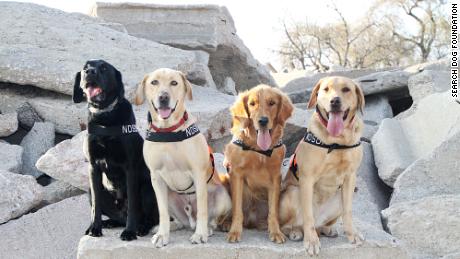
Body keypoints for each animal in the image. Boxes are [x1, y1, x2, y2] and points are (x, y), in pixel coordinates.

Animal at [72, 59, 158, 242]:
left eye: (104, 68)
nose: (89, 72)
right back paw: (109, 223)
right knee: (117, 217)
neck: (104, 116)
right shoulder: (93, 168)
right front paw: (94, 227)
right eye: (85, 67)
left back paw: (141, 228)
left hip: (147, 189)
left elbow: (132, 204)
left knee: (150, 218)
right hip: (90, 191)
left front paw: (129, 232)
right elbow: (95, 206)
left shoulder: (130, 169)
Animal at [135, 68, 232, 248]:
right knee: (179, 221)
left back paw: (207, 228)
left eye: (174, 83)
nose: (163, 97)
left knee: (211, 218)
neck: (168, 131)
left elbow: (202, 208)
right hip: (169, 195)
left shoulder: (198, 173)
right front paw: (162, 235)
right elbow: (162, 212)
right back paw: (170, 226)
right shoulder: (156, 178)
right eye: (154, 82)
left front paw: (200, 234)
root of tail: (189, 220)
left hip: (222, 195)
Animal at [224, 85, 294, 244]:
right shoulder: (236, 174)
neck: (258, 150)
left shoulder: (275, 178)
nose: (263, 120)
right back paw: (226, 224)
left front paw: (276, 232)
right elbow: (237, 210)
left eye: (272, 103)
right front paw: (235, 231)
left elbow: (273, 211)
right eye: (252, 104)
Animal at [278, 76, 364, 256]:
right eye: (326, 89)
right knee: (293, 224)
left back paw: (326, 229)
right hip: (293, 193)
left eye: (346, 89)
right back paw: (296, 231)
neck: (337, 142)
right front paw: (311, 241)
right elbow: (307, 216)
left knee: (322, 225)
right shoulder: (307, 179)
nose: (335, 101)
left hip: (341, 196)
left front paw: (352, 233)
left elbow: (348, 212)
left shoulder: (350, 177)